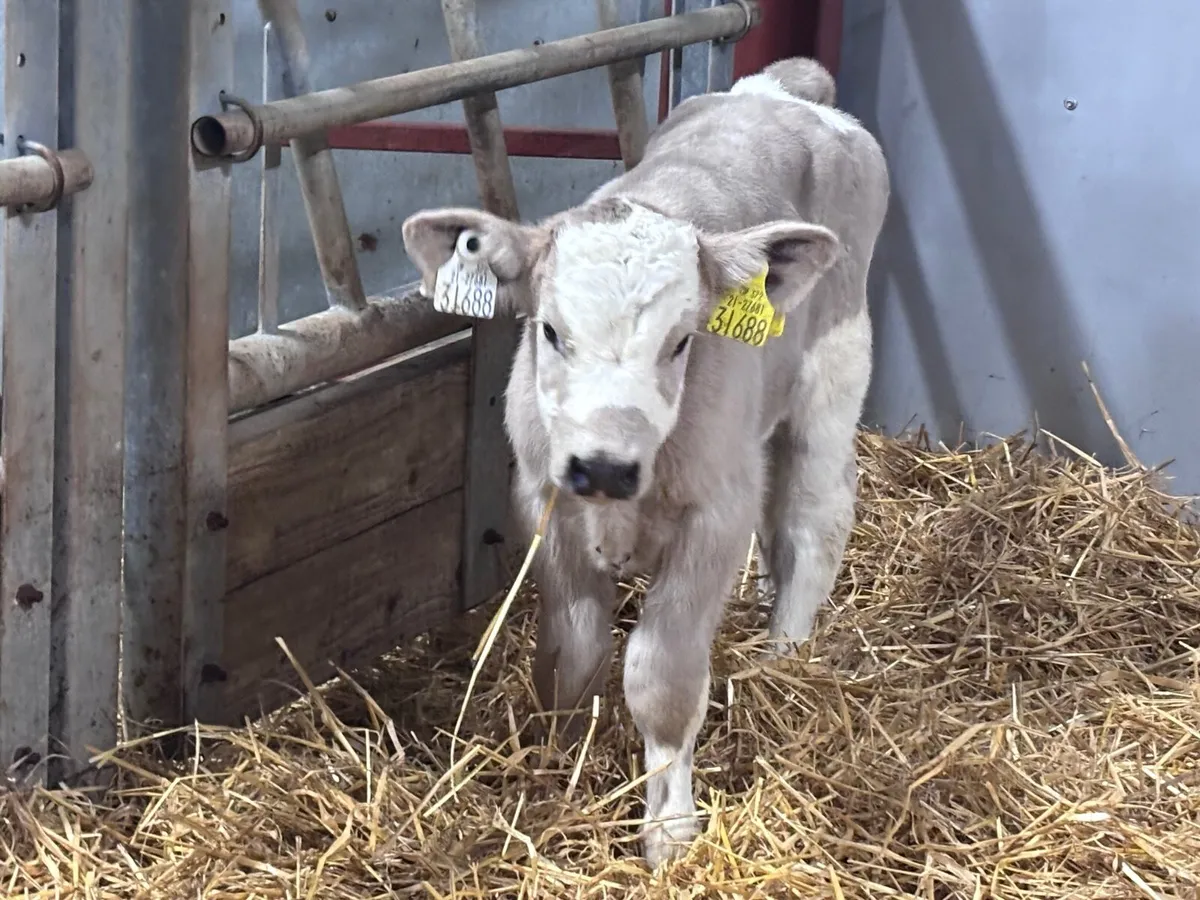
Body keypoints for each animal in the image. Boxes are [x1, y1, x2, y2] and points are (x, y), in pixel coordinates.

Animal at [401, 56, 890, 867]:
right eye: (549, 330)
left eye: (682, 341)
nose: (603, 466)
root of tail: (781, 91)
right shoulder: (545, 505)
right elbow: (575, 650)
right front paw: (560, 759)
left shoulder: (712, 518)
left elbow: (661, 675)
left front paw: (670, 827)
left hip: (835, 369)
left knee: (815, 515)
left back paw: (784, 650)